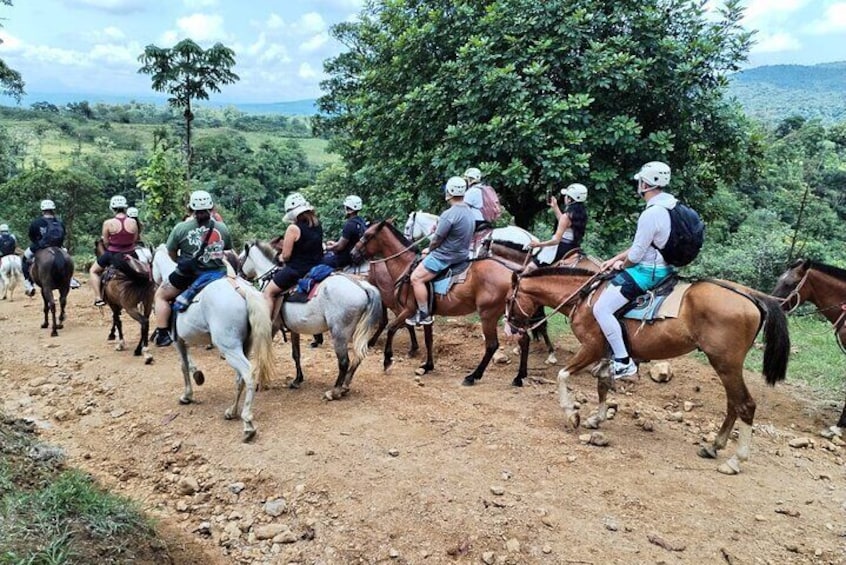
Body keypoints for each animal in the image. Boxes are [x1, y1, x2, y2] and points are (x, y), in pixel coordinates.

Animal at [151, 242, 274, 440]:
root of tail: (241, 289)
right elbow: (188, 364)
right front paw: (197, 375)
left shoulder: (178, 340)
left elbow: (183, 365)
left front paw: (187, 395)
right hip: (244, 346)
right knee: (239, 378)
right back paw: (232, 411)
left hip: (229, 348)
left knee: (248, 373)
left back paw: (247, 422)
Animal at [238, 240, 384, 398]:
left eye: (240, 259)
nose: (240, 274)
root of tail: (361, 286)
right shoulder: (294, 329)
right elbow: (296, 354)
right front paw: (297, 380)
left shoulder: (272, 326)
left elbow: (263, 352)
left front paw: (259, 382)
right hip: (356, 332)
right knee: (358, 356)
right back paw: (345, 385)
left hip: (339, 333)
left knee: (344, 361)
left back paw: (335, 391)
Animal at [504, 266, 796, 474]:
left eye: (508, 299)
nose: (510, 328)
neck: (587, 299)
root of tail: (752, 296)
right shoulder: (607, 353)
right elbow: (602, 383)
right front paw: (596, 418)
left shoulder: (592, 348)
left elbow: (563, 375)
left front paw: (571, 413)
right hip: (726, 366)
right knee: (733, 403)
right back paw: (714, 446)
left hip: (726, 364)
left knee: (745, 404)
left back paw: (735, 460)